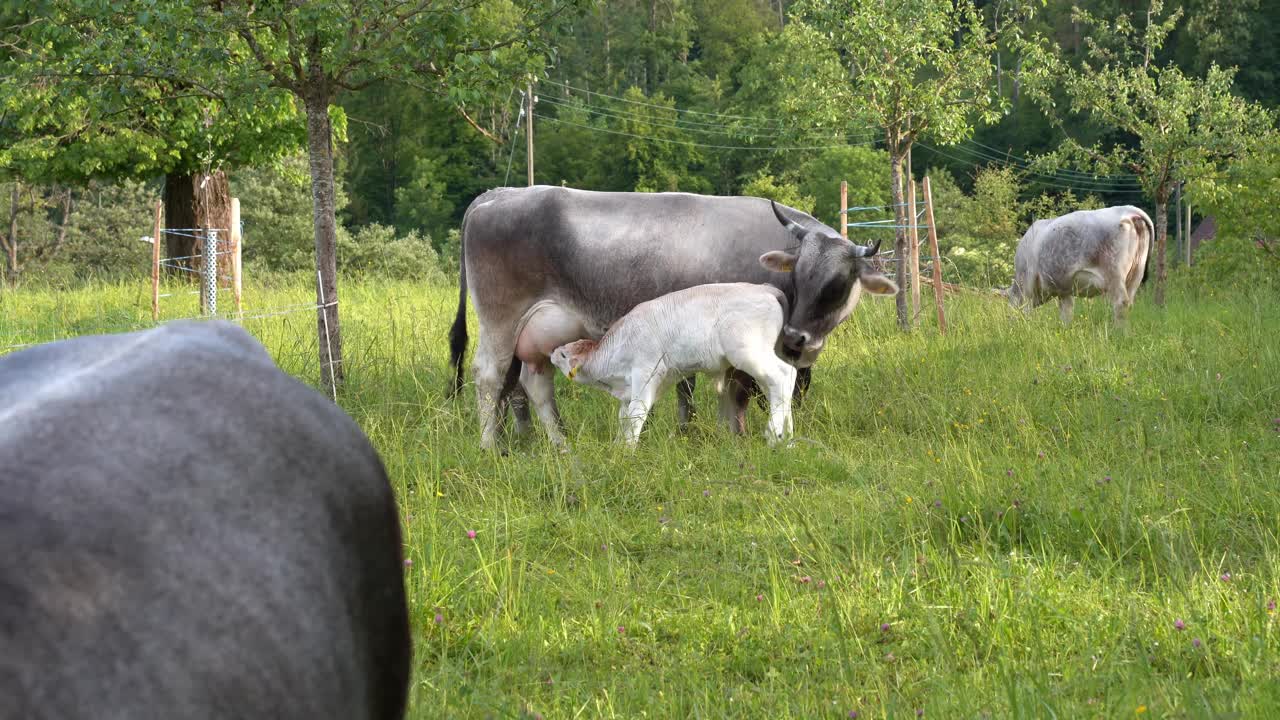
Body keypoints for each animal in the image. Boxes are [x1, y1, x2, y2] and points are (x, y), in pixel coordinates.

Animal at [552, 280, 798, 443]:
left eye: (563, 355)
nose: (552, 353)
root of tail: (764, 288)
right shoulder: (630, 389)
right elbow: (624, 418)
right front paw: (618, 446)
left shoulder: (645, 374)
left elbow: (636, 415)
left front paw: (626, 453)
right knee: (784, 382)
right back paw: (788, 437)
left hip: (749, 353)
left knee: (782, 375)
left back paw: (774, 435)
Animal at [1003, 203, 1157, 324]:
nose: (1010, 320)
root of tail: (1128, 210)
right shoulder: (1064, 290)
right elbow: (1066, 313)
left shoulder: (1027, 284)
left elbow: (1027, 310)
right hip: (1136, 274)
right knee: (1129, 304)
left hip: (1114, 274)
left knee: (1120, 304)